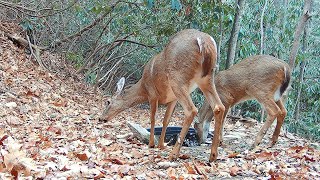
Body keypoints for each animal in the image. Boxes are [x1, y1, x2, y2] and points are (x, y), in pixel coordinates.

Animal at [100, 28, 225, 162]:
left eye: (108, 101)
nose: (101, 118)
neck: (143, 87)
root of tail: (204, 41)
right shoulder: (172, 99)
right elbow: (166, 120)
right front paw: (161, 145)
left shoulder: (152, 94)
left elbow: (153, 118)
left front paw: (151, 144)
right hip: (207, 78)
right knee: (219, 106)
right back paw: (213, 155)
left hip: (177, 78)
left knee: (191, 109)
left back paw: (174, 154)